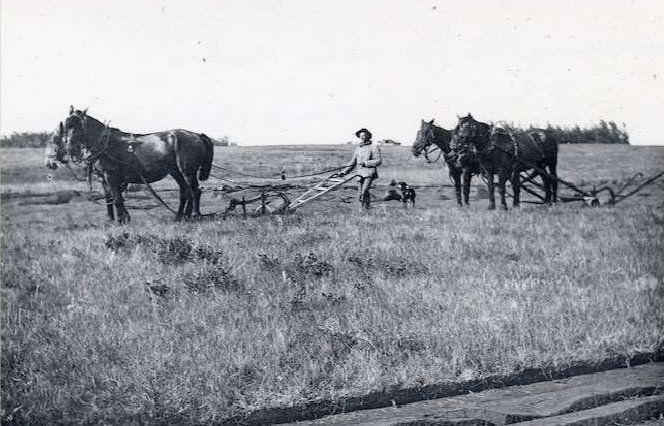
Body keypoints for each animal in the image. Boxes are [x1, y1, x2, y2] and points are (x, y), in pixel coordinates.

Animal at [45, 106, 214, 223]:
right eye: (66, 126)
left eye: (77, 126)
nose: (70, 148)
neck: (105, 145)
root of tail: (196, 135)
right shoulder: (103, 179)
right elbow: (110, 199)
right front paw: (112, 220)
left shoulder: (111, 177)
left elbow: (117, 199)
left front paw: (121, 221)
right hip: (175, 171)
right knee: (185, 192)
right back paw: (180, 216)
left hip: (187, 171)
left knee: (195, 191)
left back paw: (194, 215)